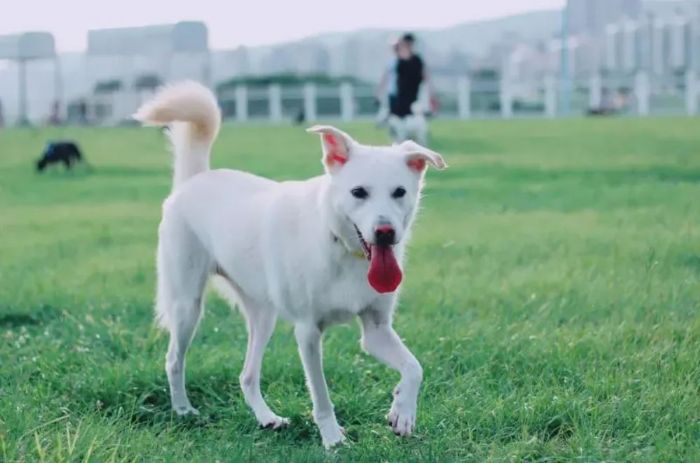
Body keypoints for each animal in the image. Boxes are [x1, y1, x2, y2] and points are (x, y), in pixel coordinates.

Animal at [134, 81, 446, 448]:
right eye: (358, 192)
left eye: (399, 192)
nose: (385, 232)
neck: (341, 248)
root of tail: (195, 179)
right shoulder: (308, 333)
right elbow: (321, 397)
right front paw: (333, 440)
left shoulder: (376, 330)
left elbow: (414, 367)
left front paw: (402, 411)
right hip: (187, 306)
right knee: (173, 360)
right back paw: (184, 410)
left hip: (263, 315)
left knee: (247, 375)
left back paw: (267, 418)